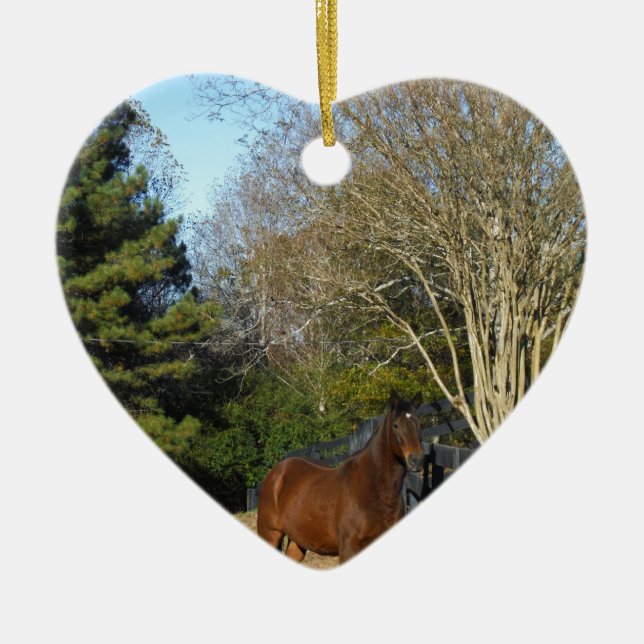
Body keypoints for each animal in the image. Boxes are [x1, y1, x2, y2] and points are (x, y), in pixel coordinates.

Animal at [256, 391, 424, 564]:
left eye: (420, 424)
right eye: (396, 425)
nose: (416, 460)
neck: (375, 489)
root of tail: (276, 473)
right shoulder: (349, 549)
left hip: (297, 540)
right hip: (269, 533)